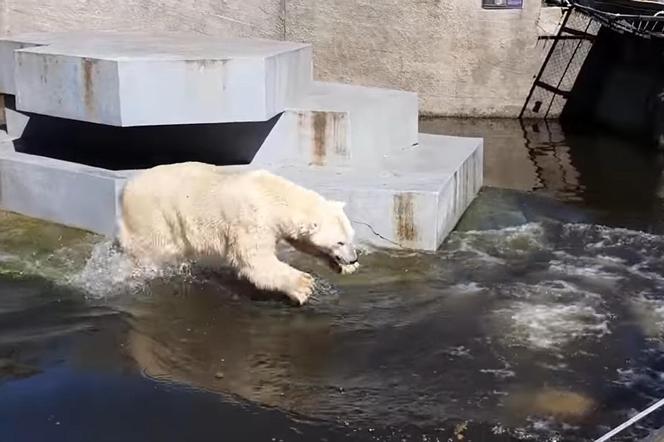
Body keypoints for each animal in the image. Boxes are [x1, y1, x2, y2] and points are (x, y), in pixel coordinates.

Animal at [116, 161, 360, 304]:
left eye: (350, 237)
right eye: (339, 242)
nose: (353, 258)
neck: (273, 195)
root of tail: (125, 189)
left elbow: (302, 243)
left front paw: (344, 267)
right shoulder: (252, 220)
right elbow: (254, 260)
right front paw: (302, 285)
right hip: (155, 216)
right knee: (153, 251)